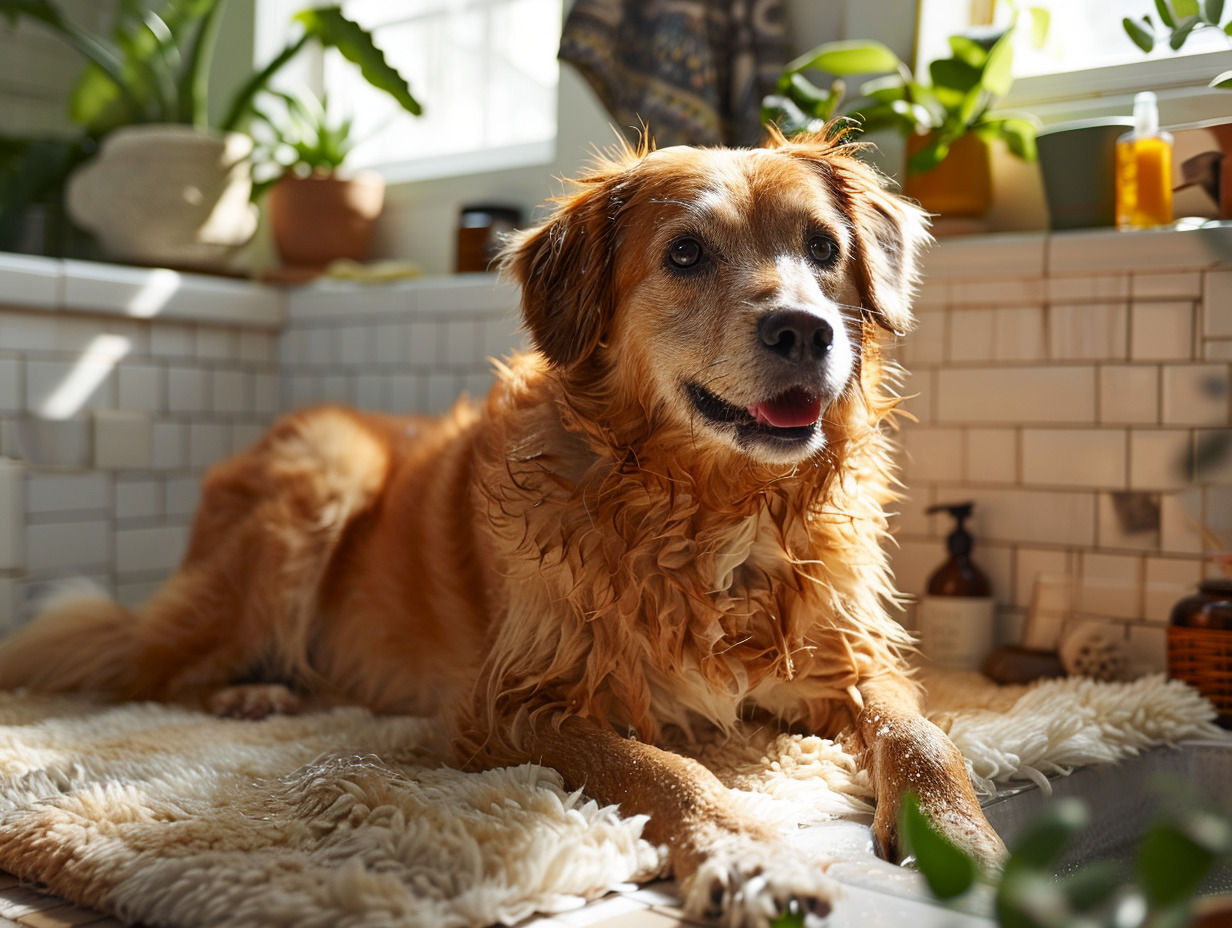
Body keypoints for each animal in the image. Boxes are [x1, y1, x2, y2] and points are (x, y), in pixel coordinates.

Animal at [0, 130, 1000, 926]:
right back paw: (255, 694)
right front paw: (748, 854)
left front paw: (963, 839)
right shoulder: (514, 702)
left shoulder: (851, 659)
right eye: (685, 254)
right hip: (320, 477)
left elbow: (924, 736)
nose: (805, 330)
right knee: (156, 672)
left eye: (823, 247)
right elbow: (666, 768)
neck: (714, 507)